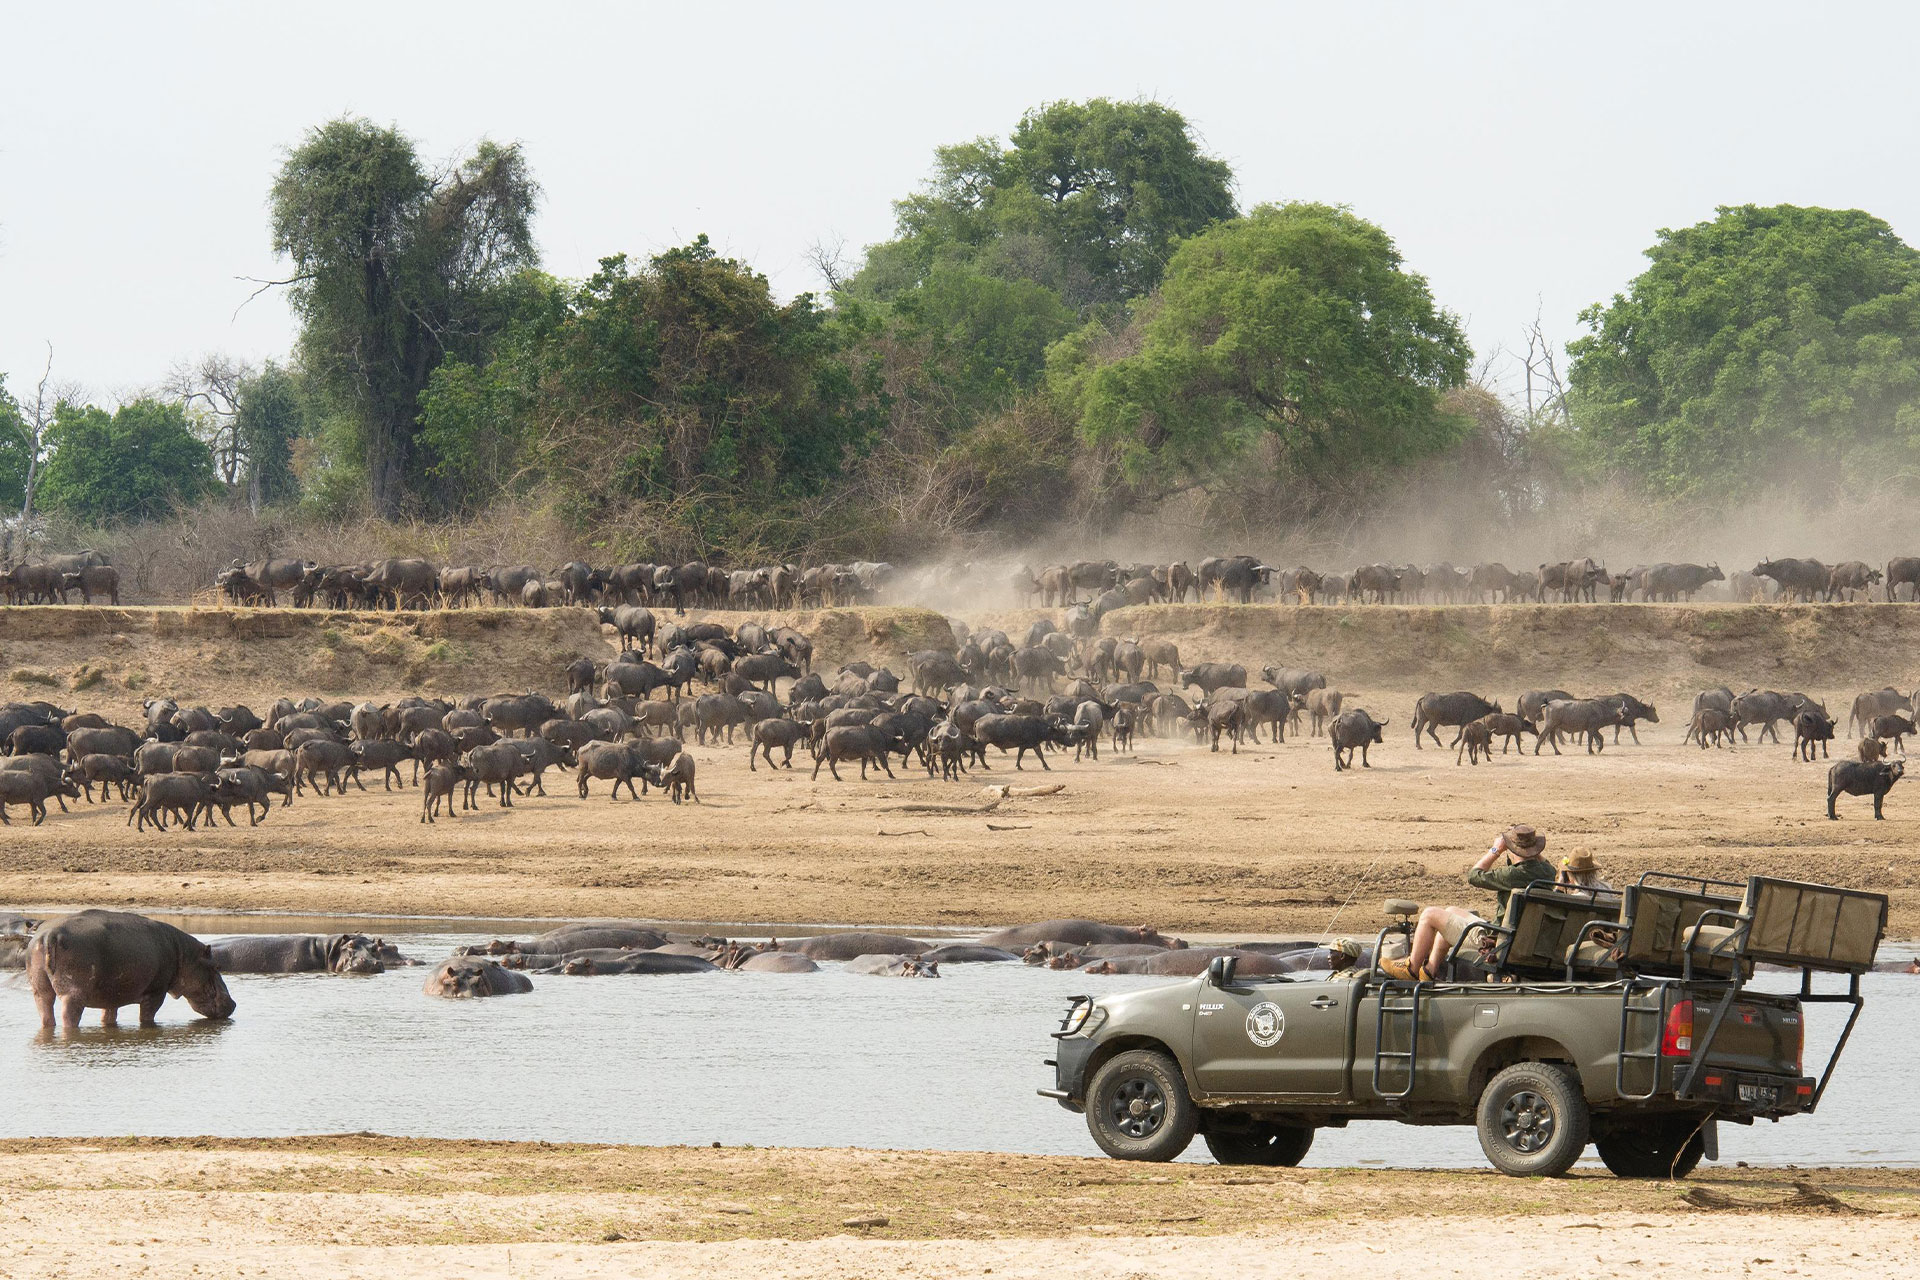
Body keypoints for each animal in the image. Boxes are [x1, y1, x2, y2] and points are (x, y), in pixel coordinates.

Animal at [28, 909, 236, 1029]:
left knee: (45, 1011)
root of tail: (49, 935)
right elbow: (147, 1017)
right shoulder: (156, 992)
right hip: (74, 993)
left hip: (40, 988)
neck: (184, 954)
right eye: (215, 966)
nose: (233, 1003)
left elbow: (109, 1015)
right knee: (69, 1016)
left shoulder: (111, 995)